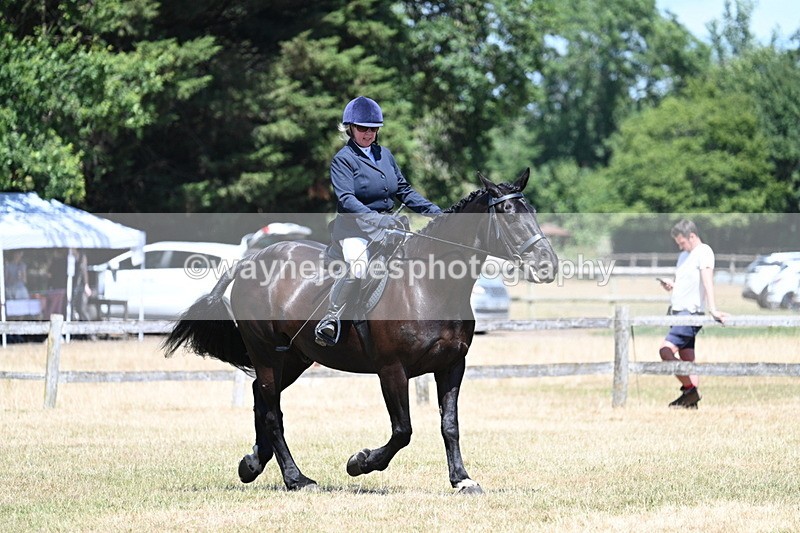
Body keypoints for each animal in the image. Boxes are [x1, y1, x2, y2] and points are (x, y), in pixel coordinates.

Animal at [163, 169, 558, 494]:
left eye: (533, 211)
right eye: (508, 215)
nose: (547, 266)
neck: (429, 286)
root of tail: (250, 260)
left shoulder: (451, 366)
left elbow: (450, 425)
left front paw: (462, 479)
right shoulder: (392, 370)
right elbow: (403, 431)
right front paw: (360, 463)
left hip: (294, 358)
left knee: (263, 399)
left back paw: (252, 464)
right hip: (266, 352)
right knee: (273, 411)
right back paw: (297, 479)